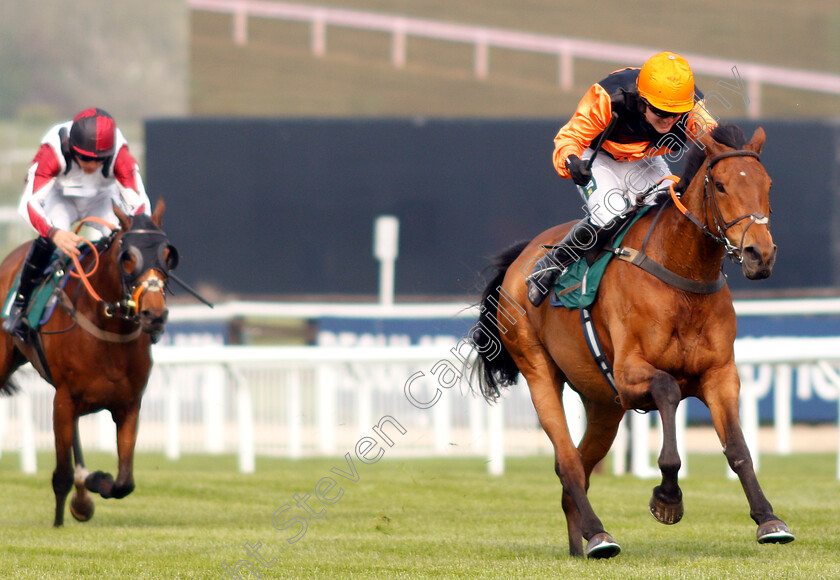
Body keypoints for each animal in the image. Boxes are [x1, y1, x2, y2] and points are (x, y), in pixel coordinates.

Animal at [0, 202, 177, 528]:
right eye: (128, 257)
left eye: (168, 255)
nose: (154, 314)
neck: (109, 331)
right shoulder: (64, 399)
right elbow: (62, 474)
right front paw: (62, 519)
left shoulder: (129, 404)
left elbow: (124, 482)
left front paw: (93, 484)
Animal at [472, 125, 796, 556]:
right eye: (722, 185)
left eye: (768, 184)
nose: (760, 254)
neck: (681, 276)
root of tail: (521, 258)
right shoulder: (629, 374)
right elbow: (669, 392)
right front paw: (668, 499)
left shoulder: (720, 374)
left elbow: (739, 449)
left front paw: (769, 519)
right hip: (539, 370)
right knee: (567, 461)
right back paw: (599, 535)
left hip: (602, 403)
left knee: (581, 464)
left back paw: (580, 543)